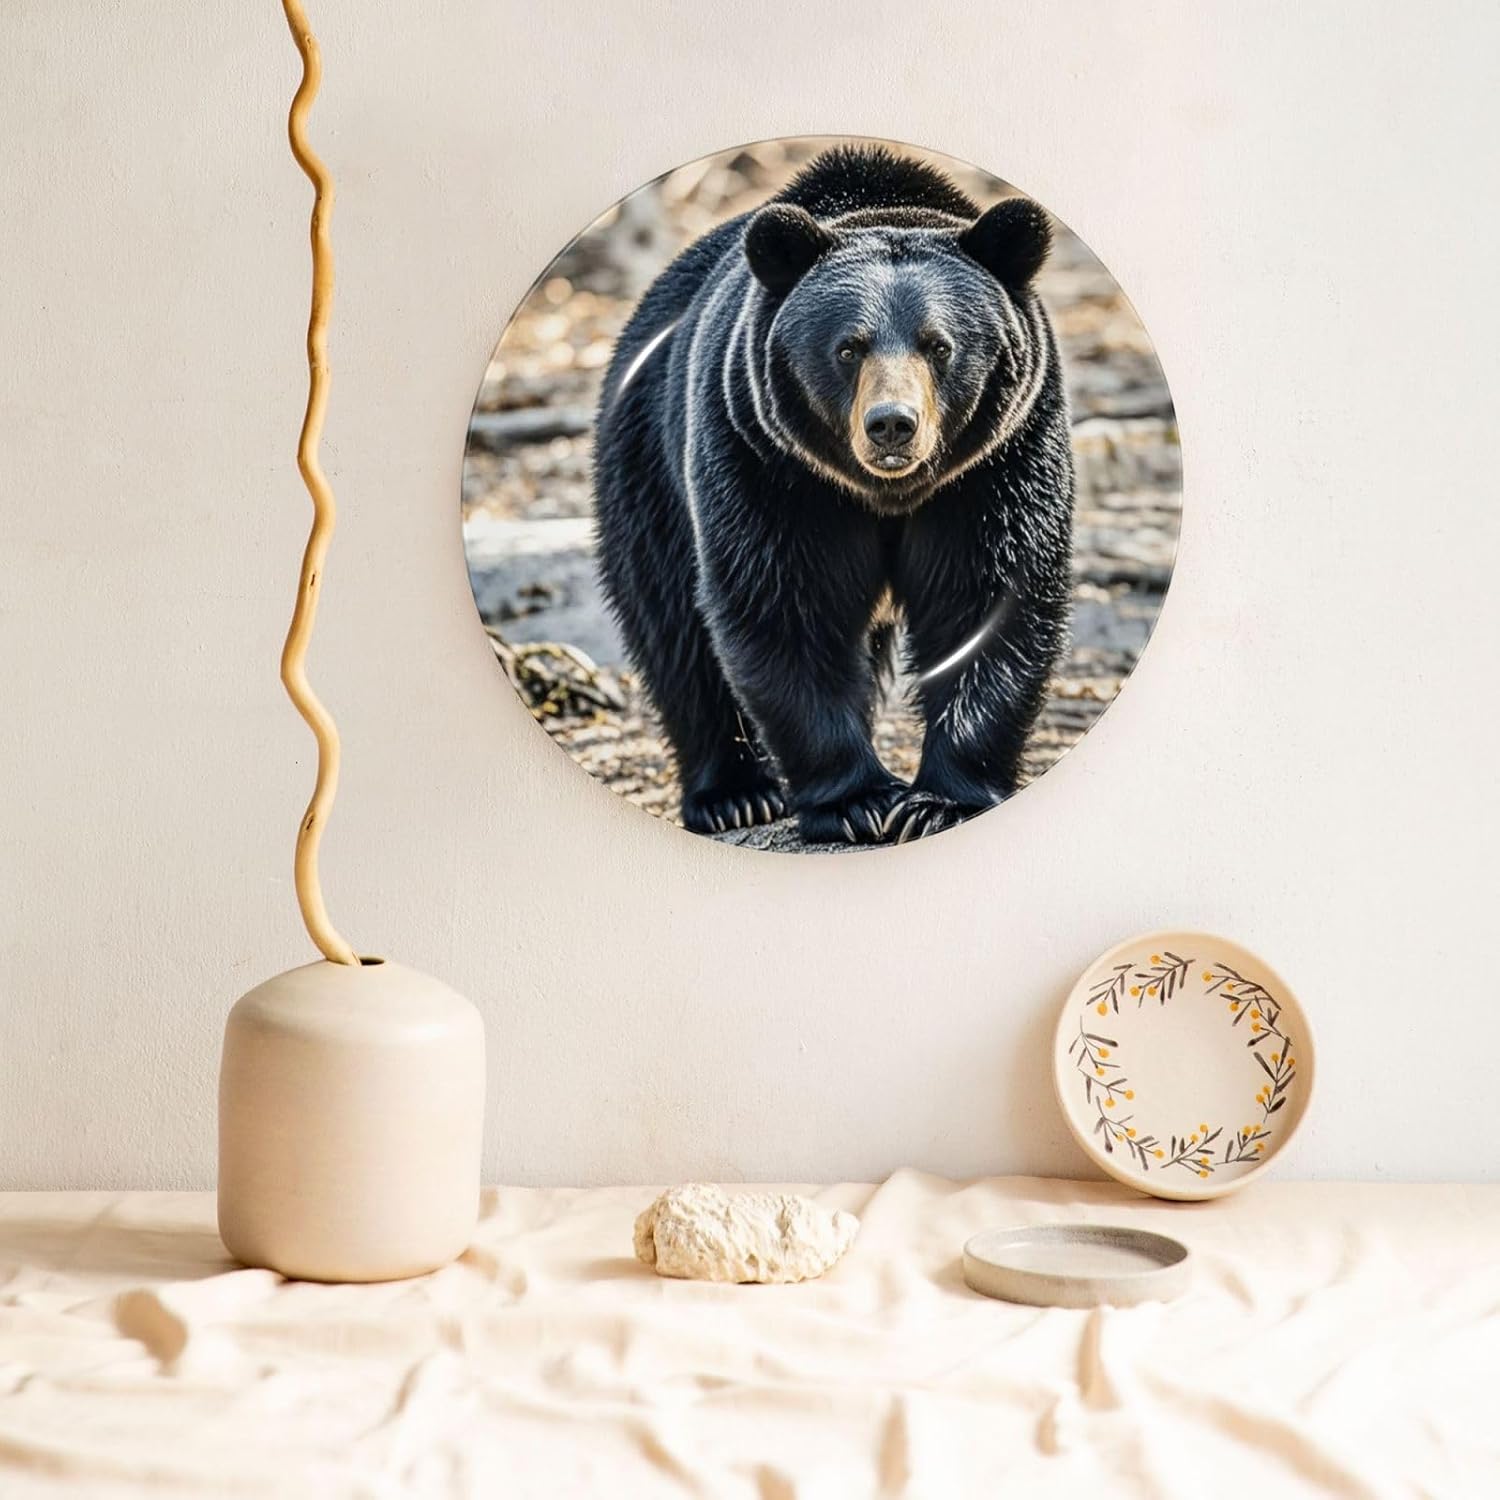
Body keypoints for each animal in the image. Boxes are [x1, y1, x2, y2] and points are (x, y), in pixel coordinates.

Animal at [592, 144, 1074, 845]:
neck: (887, 494)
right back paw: (734, 794)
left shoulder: (998, 462)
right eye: (849, 348)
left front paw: (940, 801)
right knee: (672, 626)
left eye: (939, 345)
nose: (892, 424)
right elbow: (780, 603)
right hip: (648, 462)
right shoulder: (769, 462)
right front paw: (859, 800)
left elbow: (988, 600)